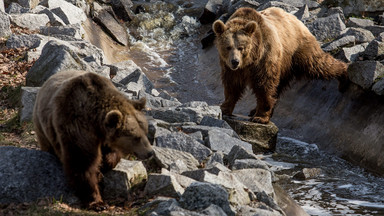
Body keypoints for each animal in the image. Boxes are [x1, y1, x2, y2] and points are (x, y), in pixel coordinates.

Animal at [32, 69, 154, 211]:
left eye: (146, 131)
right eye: (136, 137)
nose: (150, 152)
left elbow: (110, 154)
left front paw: (104, 164)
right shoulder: (75, 125)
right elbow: (82, 162)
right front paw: (97, 202)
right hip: (42, 127)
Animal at [212, 7, 350, 123]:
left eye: (241, 47)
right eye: (228, 47)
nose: (235, 61)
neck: (250, 60)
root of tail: (297, 19)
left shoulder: (264, 56)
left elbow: (264, 84)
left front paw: (260, 117)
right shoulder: (229, 67)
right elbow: (232, 85)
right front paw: (224, 108)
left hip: (298, 50)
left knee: (318, 65)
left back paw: (344, 76)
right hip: (284, 65)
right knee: (278, 87)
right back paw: (254, 110)